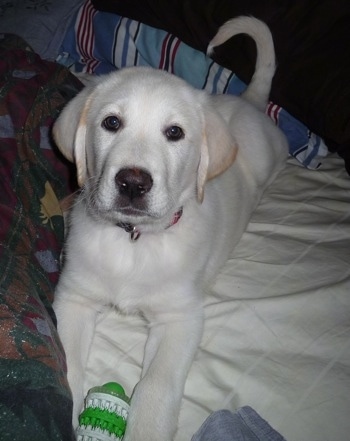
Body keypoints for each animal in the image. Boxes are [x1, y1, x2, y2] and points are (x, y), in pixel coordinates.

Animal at [52, 15, 288, 438]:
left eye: (174, 132)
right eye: (111, 122)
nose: (132, 183)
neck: (132, 241)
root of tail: (247, 101)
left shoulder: (181, 318)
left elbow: (156, 385)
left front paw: (146, 426)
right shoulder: (74, 298)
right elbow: (68, 366)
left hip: (268, 156)